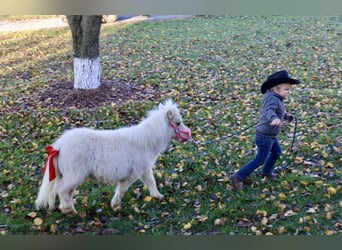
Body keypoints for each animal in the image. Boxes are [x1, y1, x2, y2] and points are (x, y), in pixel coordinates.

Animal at [35, 100, 191, 214]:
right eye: (177, 123)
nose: (188, 135)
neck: (145, 142)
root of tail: (59, 145)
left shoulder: (145, 170)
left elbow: (151, 182)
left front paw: (158, 196)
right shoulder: (132, 174)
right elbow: (122, 189)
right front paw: (115, 205)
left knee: (66, 191)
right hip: (74, 175)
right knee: (62, 190)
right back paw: (70, 211)